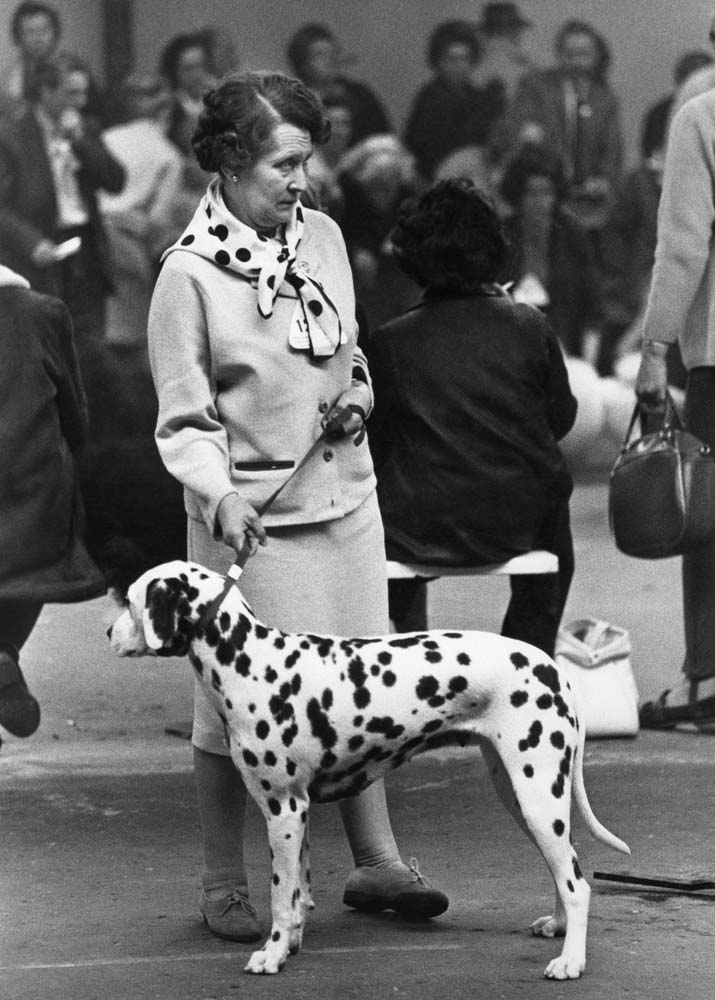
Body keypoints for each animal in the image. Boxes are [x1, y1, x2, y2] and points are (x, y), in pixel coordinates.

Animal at [109, 560, 628, 980]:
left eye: (131, 601)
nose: (108, 633)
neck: (250, 662)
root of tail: (551, 667)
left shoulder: (282, 809)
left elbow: (280, 896)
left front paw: (271, 955)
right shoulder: (298, 812)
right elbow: (299, 893)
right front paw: (291, 945)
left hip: (537, 797)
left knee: (578, 885)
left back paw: (571, 962)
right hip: (524, 797)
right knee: (567, 868)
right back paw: (558, 928)